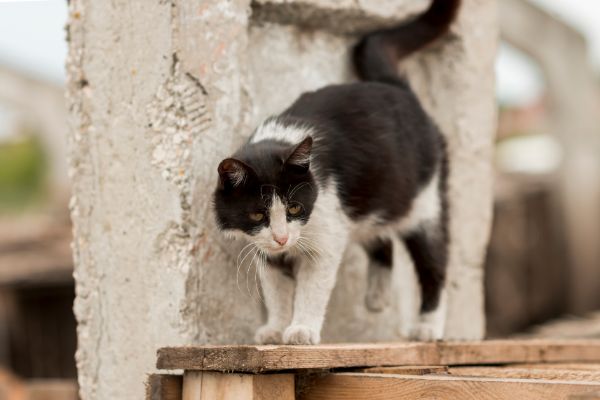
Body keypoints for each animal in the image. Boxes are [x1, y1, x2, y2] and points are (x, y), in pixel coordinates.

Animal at [213, 0, 462, 344]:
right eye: (257, 214)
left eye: (295, 207)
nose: (281, 238)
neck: (280, 139)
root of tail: (396, 87)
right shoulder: (266, 248)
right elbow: (276, 289)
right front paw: (275, 328)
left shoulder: (325, 233)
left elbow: (311, 288)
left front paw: (301, 329)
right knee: (380, 238)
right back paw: (377, 297)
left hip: (425, 202)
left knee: (433, 264)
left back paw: (428, 327)